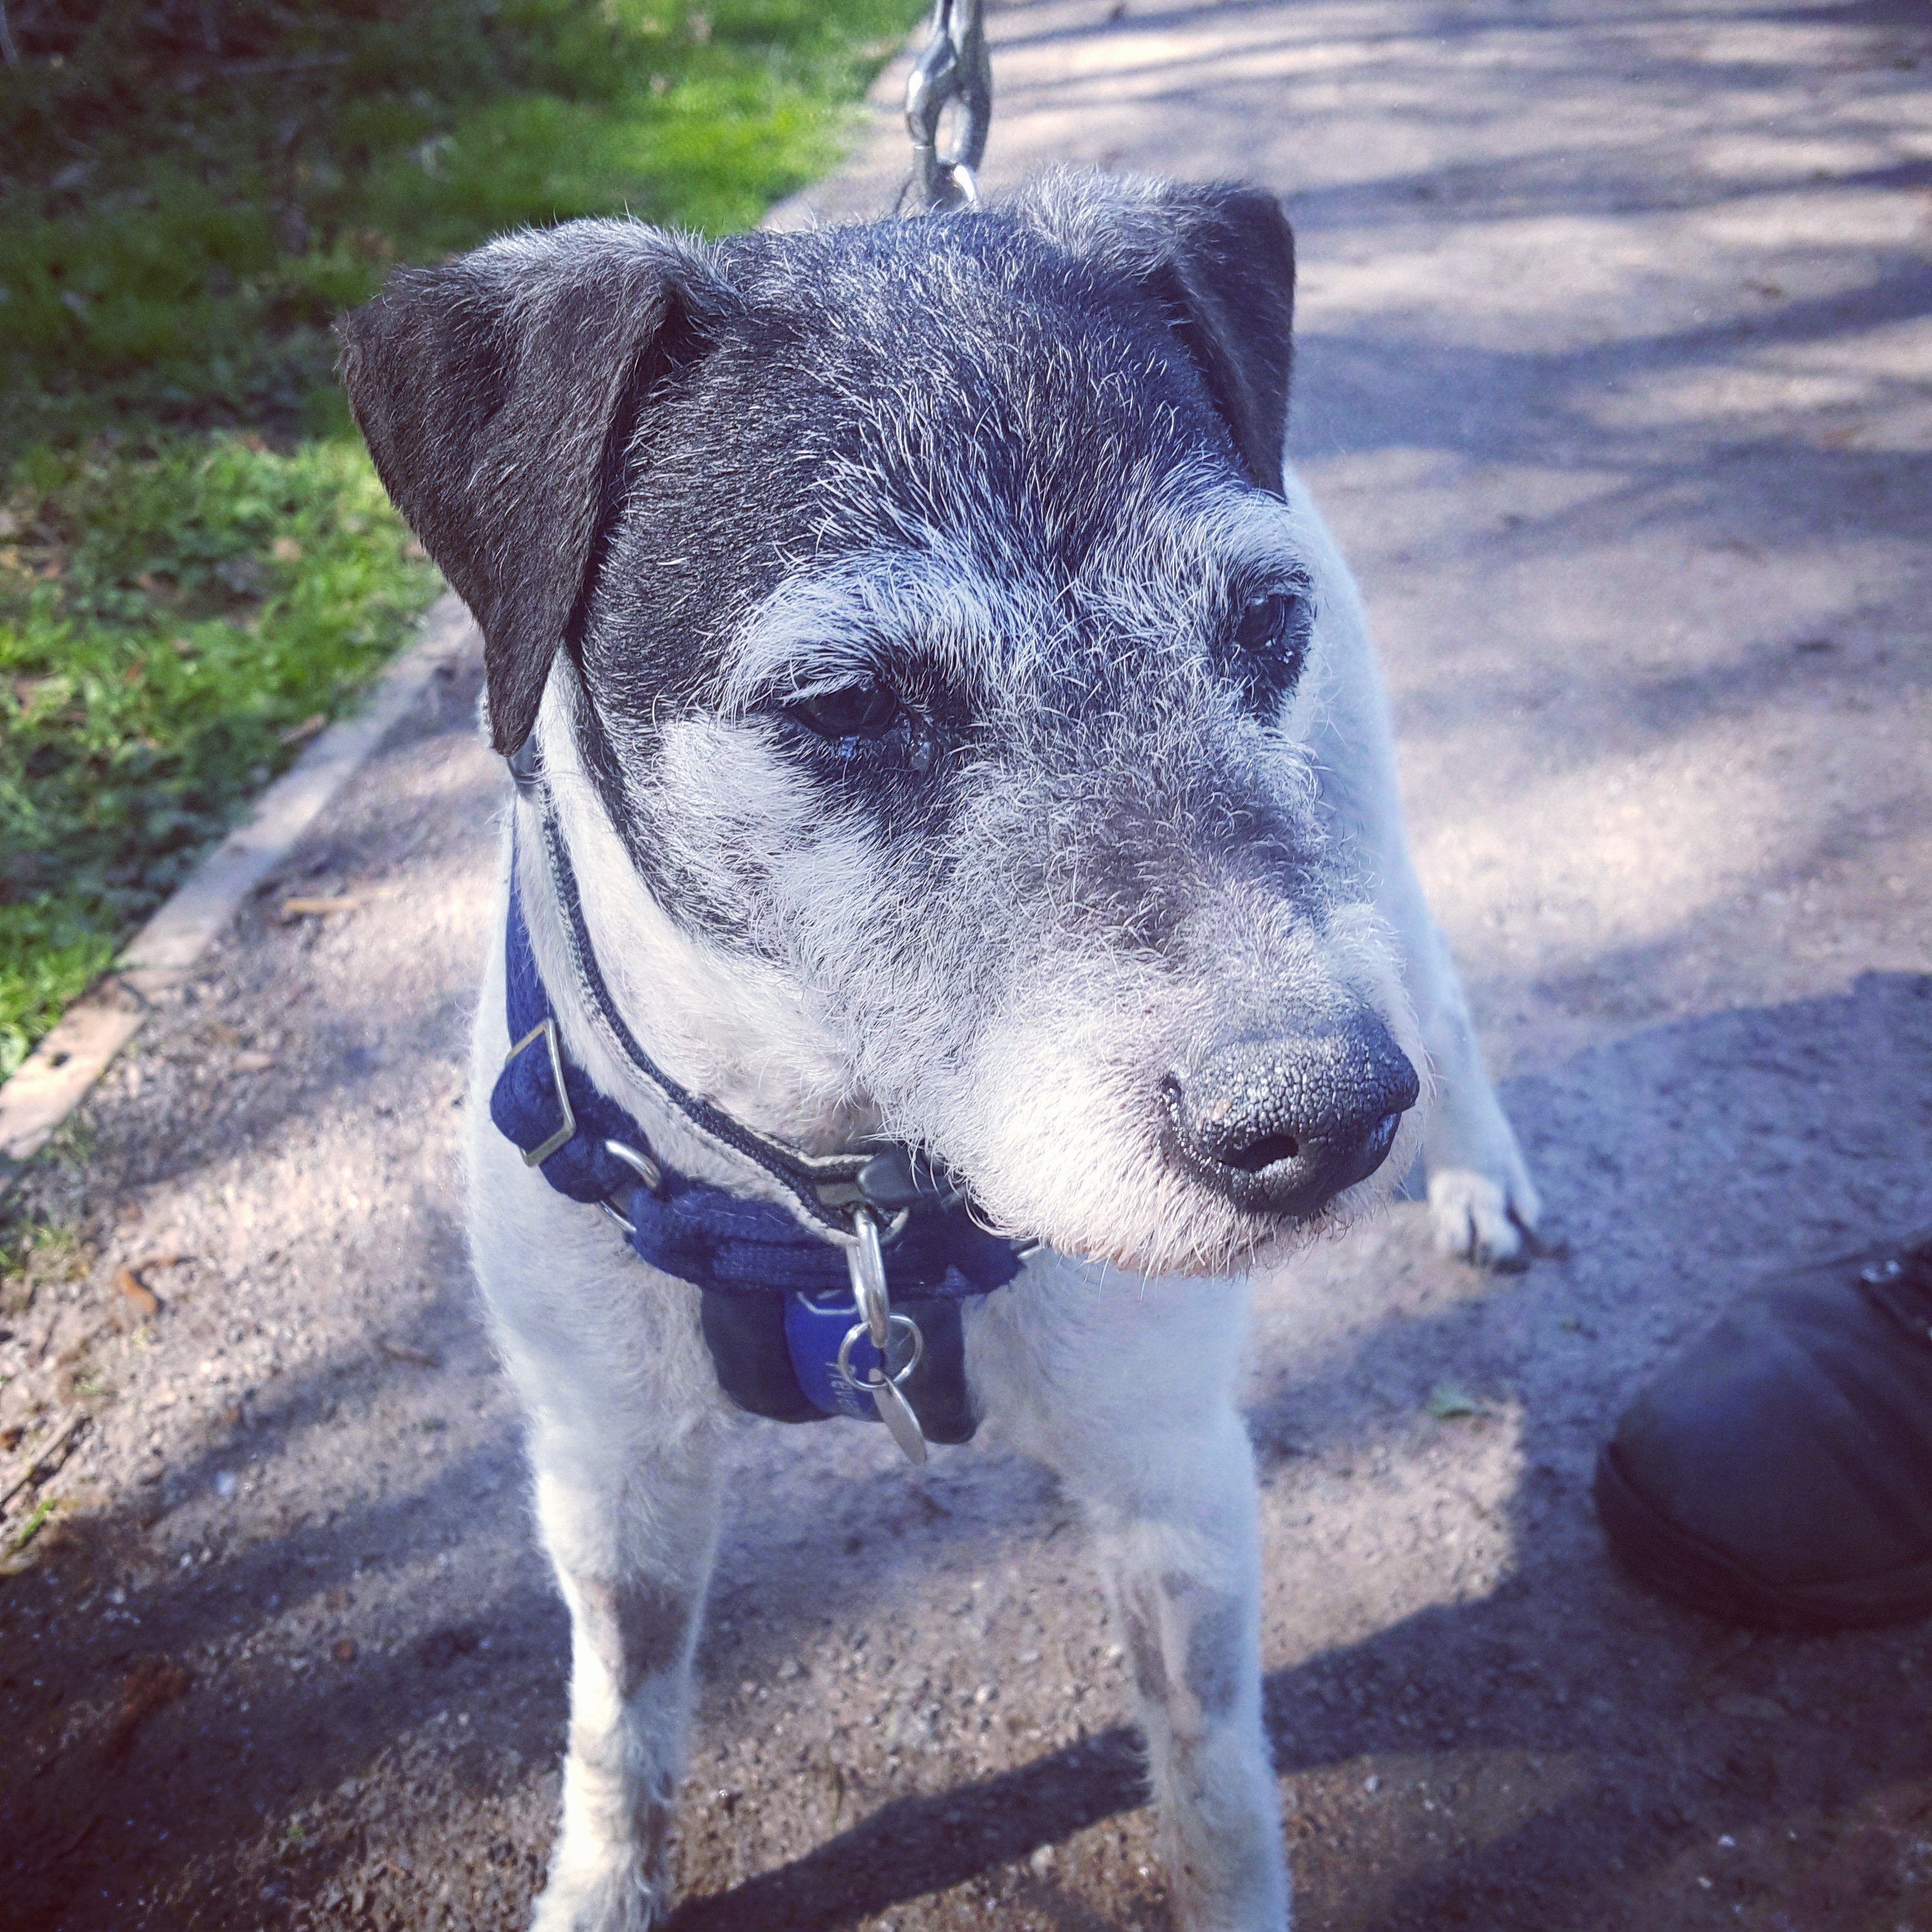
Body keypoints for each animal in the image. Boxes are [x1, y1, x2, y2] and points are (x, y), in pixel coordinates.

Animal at [339, 169, 1540, 1932]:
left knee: (1441, 1005)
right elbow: (620, 1734)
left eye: (1261, 619)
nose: (1318, 1122)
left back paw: (1478, 1176)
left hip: (1365, 854)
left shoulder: (1171, 1476)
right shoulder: (611, 1470)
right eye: (843, 701)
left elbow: (1214, 1796)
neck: (839, 1196)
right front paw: (602, 1884)